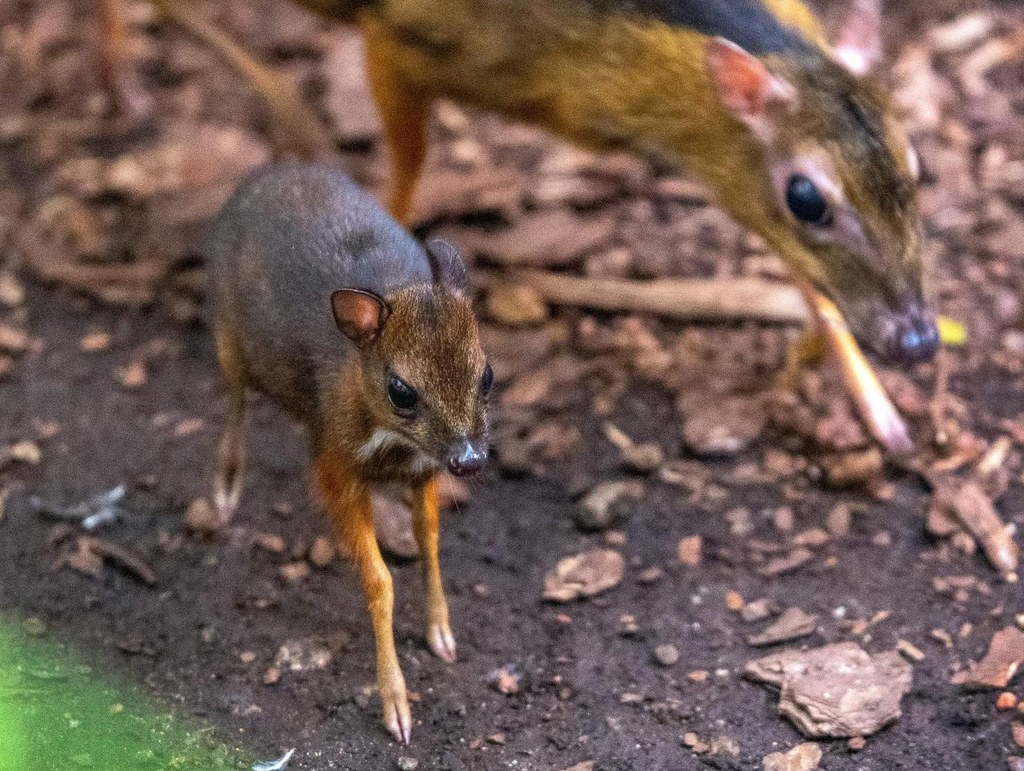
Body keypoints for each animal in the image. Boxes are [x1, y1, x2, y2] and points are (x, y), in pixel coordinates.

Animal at [204, 160, 491, 741]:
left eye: (488, 376)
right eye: (401, 391)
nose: (470, 460)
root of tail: (270, 170)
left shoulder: (424, 470)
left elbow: (429, 538)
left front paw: (441, 633)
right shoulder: (335, 470)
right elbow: (379, 581)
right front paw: (396, 705)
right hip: (228, 335)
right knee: (236, 399)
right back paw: (223, 492)